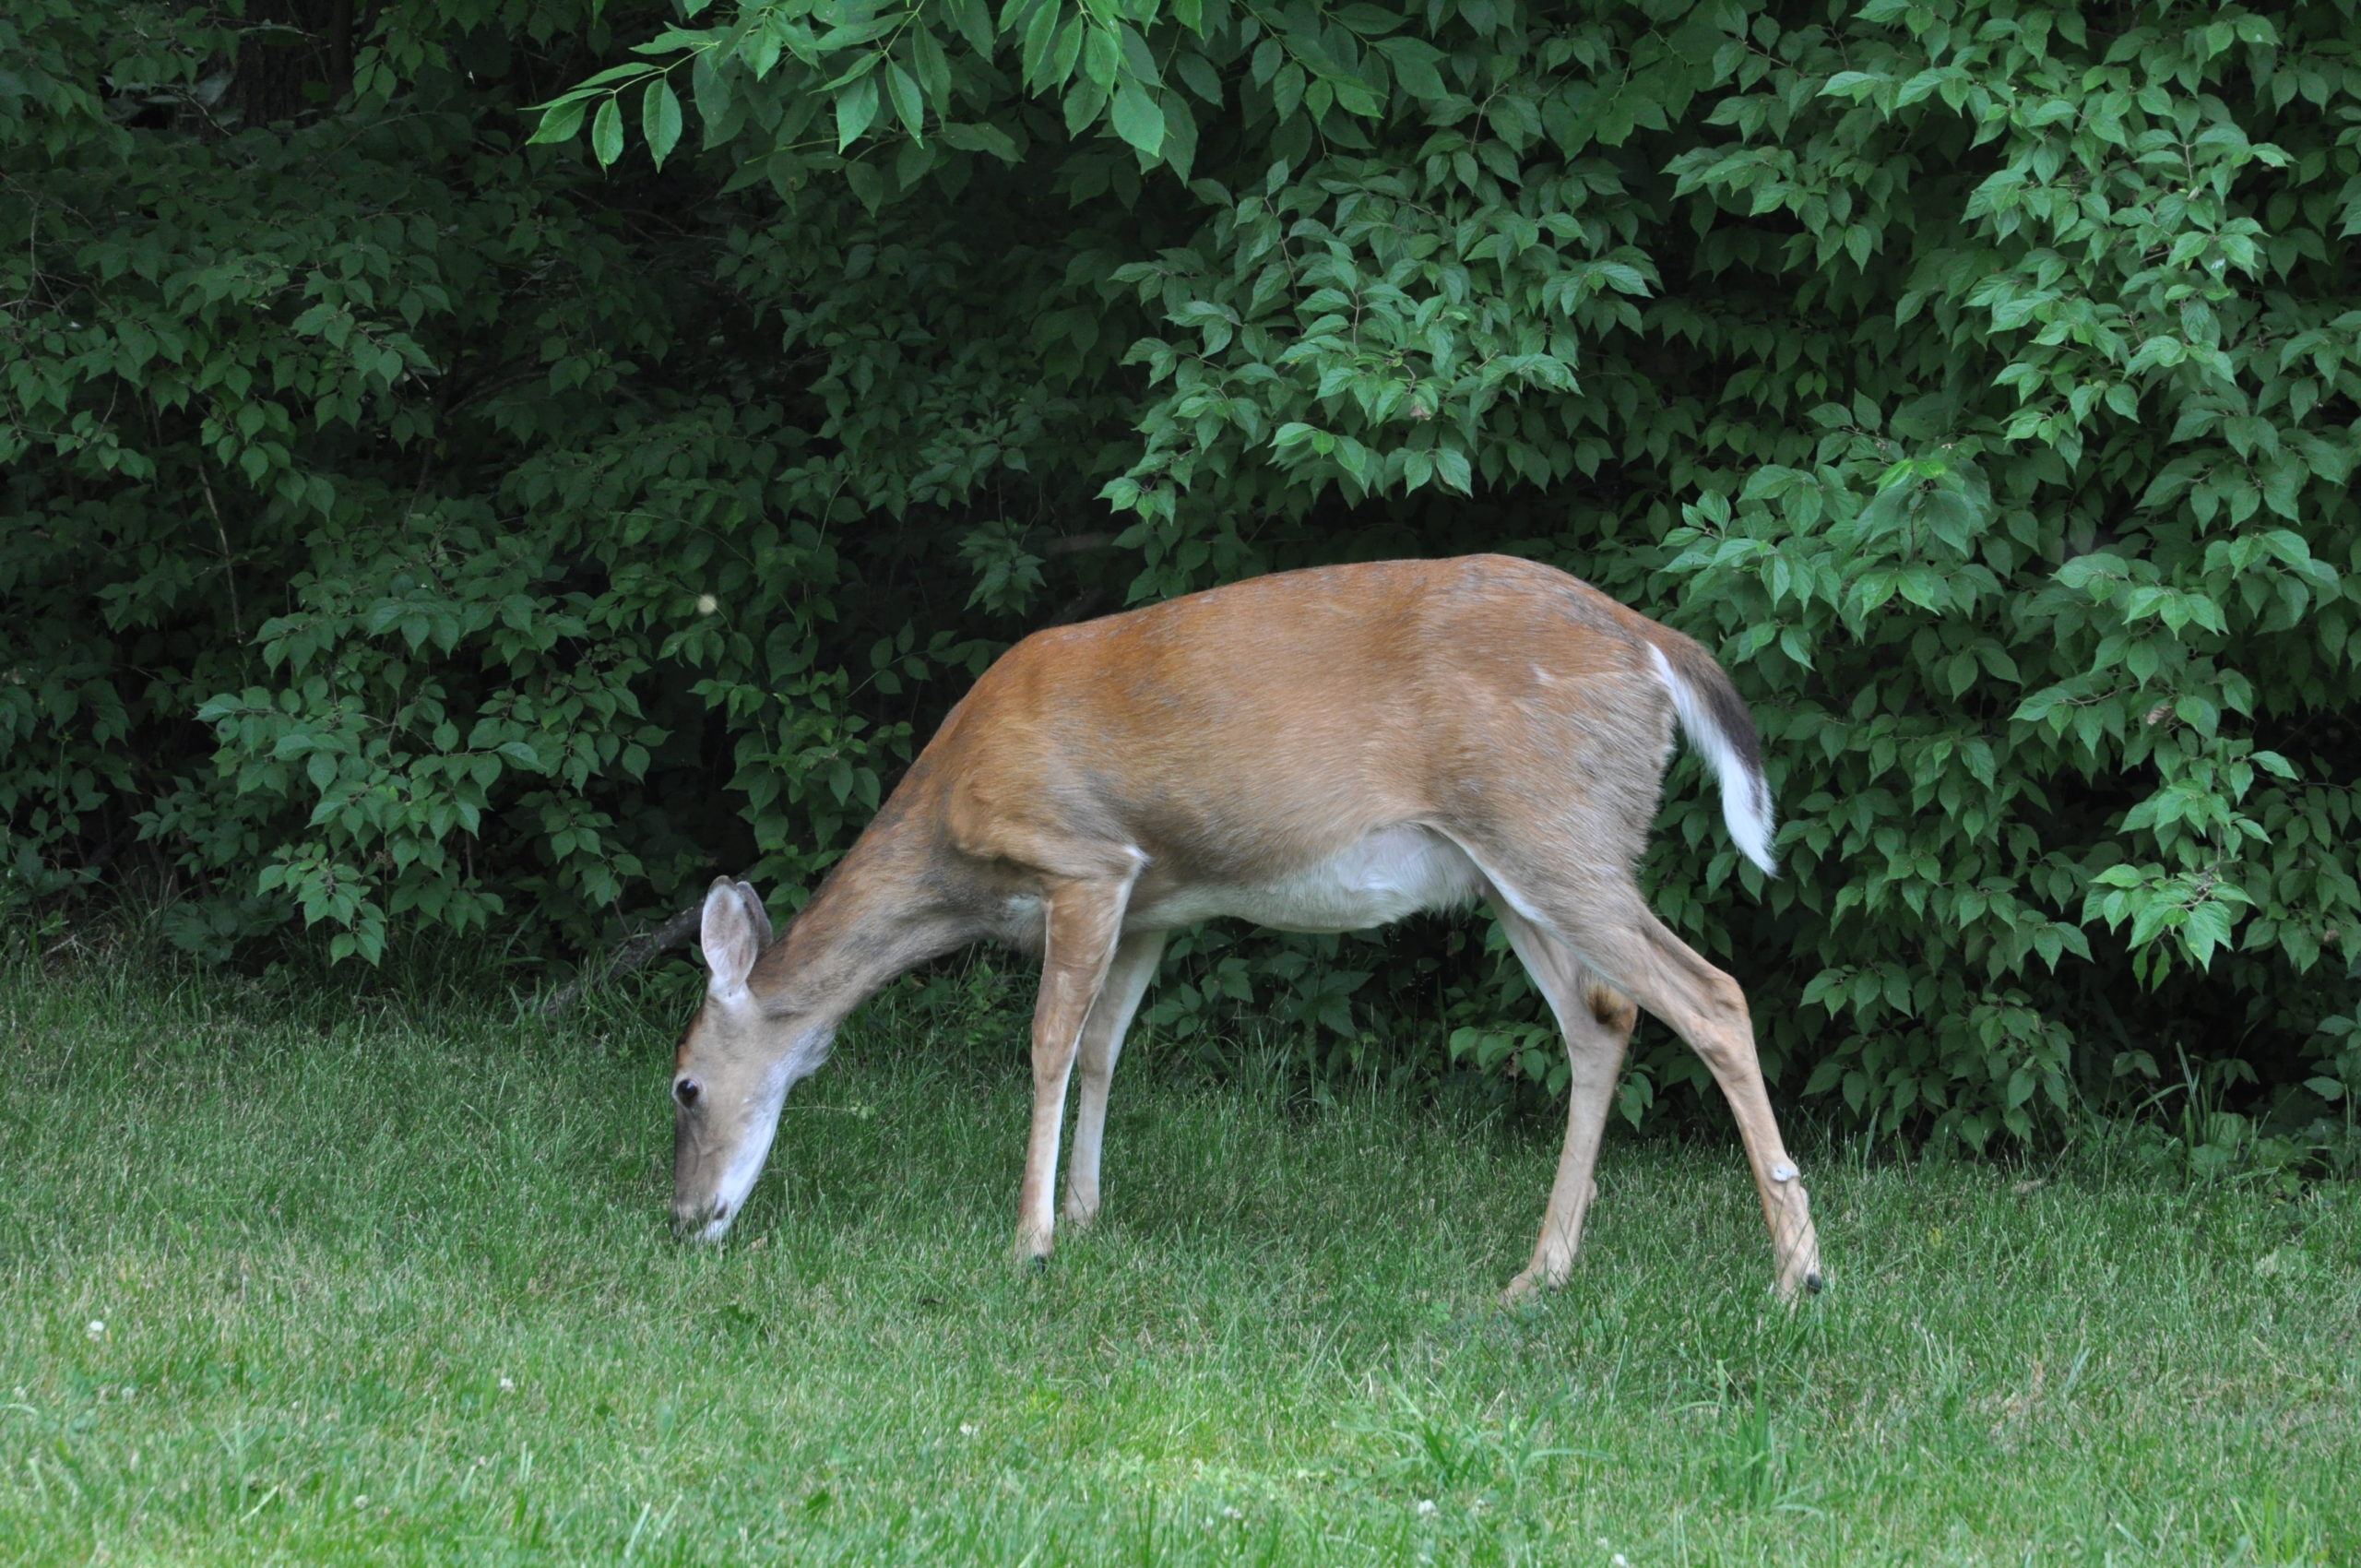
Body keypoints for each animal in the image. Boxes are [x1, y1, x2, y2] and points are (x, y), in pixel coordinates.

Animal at [665, 557, 1822, 1303]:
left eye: (682, 1085)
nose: (682, 1219)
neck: (955, 830)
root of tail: (1653, 644)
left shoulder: (1082, 859)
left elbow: (1046, 1046)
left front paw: (1028, 1241)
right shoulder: (1151, 900)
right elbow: (1103, 1046)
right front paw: (1084, 1216)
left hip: (1554, 829)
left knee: (1712, 994)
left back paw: (1796, 1272)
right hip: (1510, 868)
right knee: (1603, 1018)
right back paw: (1538, 1274)